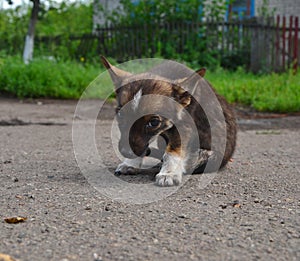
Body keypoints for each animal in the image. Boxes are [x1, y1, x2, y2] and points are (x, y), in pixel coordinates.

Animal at [101, 55, 237, 186]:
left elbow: (172, 152)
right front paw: (131, 163)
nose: (126, 153)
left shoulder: (183, 127)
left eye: (154, 122)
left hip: (209, 156)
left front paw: (169, 173)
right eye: (120, 114)